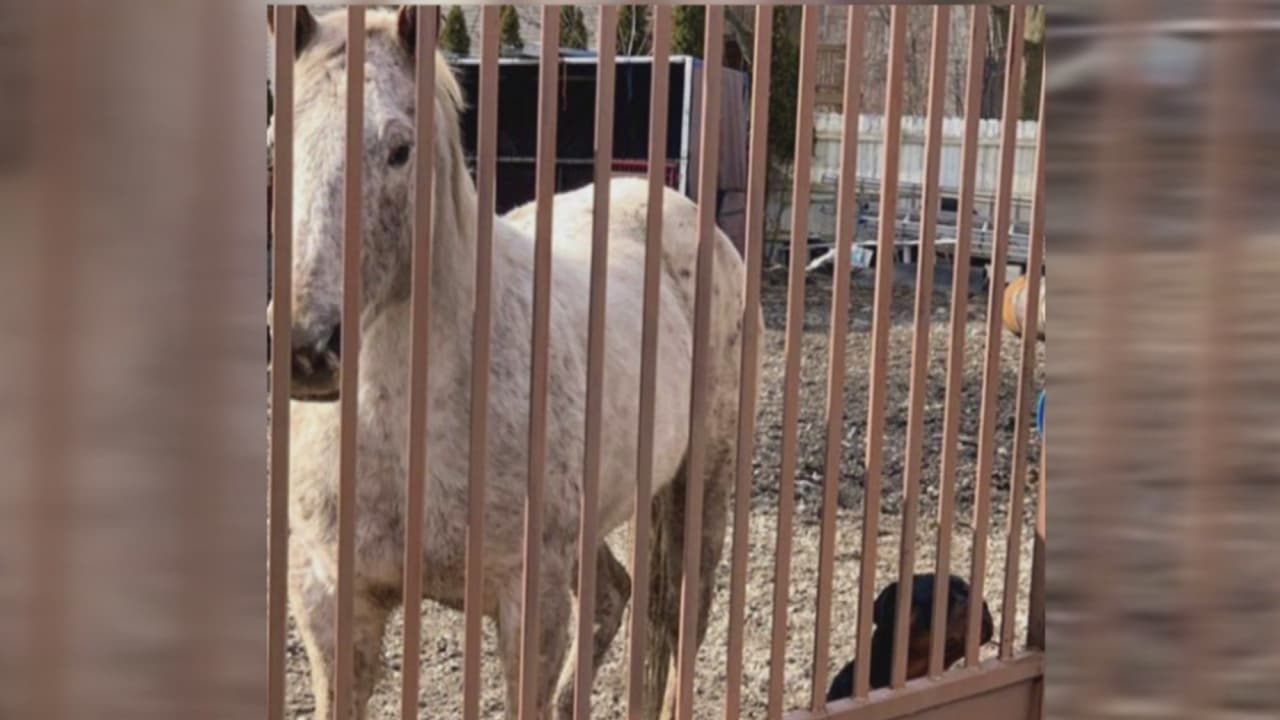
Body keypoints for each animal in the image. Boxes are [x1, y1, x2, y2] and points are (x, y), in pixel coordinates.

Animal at [269, 7, 756, 719]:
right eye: (276, 145)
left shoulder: (530, 603)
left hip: (702, 483)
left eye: (399, 149)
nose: (307, 349)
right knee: (615, 594)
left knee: (681, 614)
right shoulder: (334, 604)